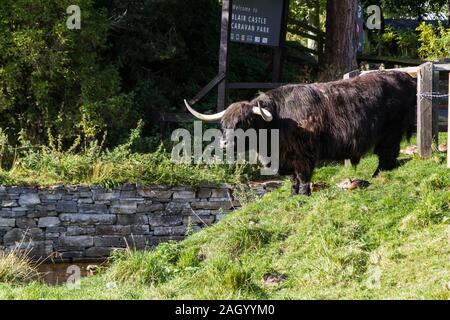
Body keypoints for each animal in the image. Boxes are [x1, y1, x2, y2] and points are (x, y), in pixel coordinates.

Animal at [185, 71, 416, 195]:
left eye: (243, 123)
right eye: (223, 125)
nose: (224, 145)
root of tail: (405, 76)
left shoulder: (304, 155)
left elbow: (304, 177)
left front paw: (304, 194)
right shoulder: (288, 158)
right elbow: (293, 179)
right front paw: (293, 193)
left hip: (392, 131)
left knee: (388, 153)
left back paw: (379, 174)